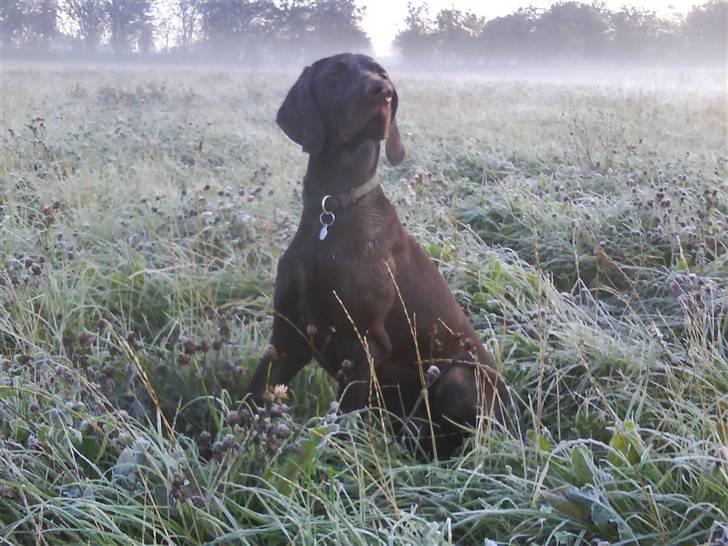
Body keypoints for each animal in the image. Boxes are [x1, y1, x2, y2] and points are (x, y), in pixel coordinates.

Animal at [247, 54, 510, 454]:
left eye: (383, 74)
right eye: (336, 72)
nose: (382, 91)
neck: (332, 208)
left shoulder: (364, 344)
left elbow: (340, 421)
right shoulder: (287, 337)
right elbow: (252, 394)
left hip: (458, 376)